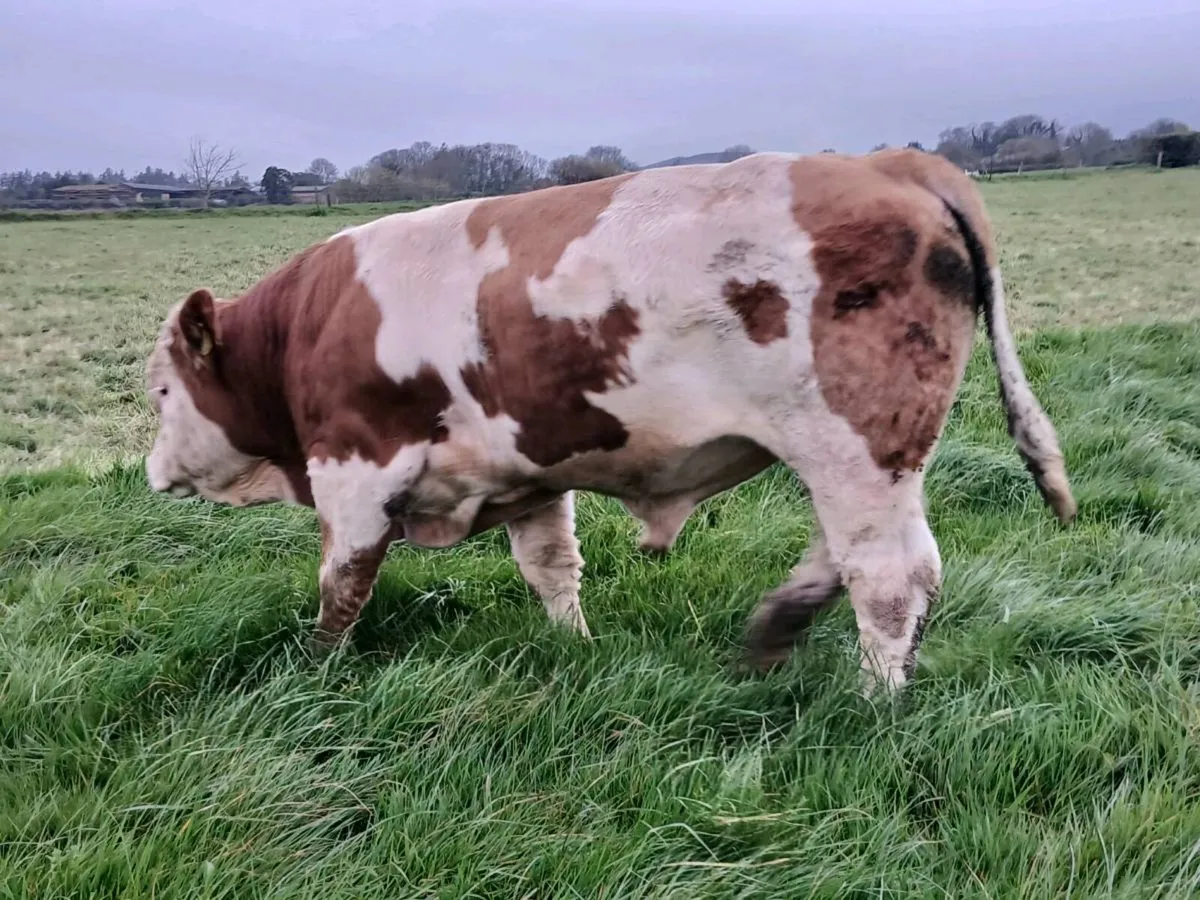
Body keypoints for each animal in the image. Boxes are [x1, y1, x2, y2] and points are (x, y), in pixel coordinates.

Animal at [143, 148, 1076, 694]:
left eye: (159, 392)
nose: (151, 472)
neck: (305, 327)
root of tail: (893, 160)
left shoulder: (355, 469)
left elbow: (342, 584)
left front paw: (315, 674)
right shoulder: (528, 471)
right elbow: (553, 568)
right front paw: (575, 648)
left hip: (858, 442)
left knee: (889, 575)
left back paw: (877, 698)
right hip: (854, 454)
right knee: (842, 555)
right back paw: (775, 633)